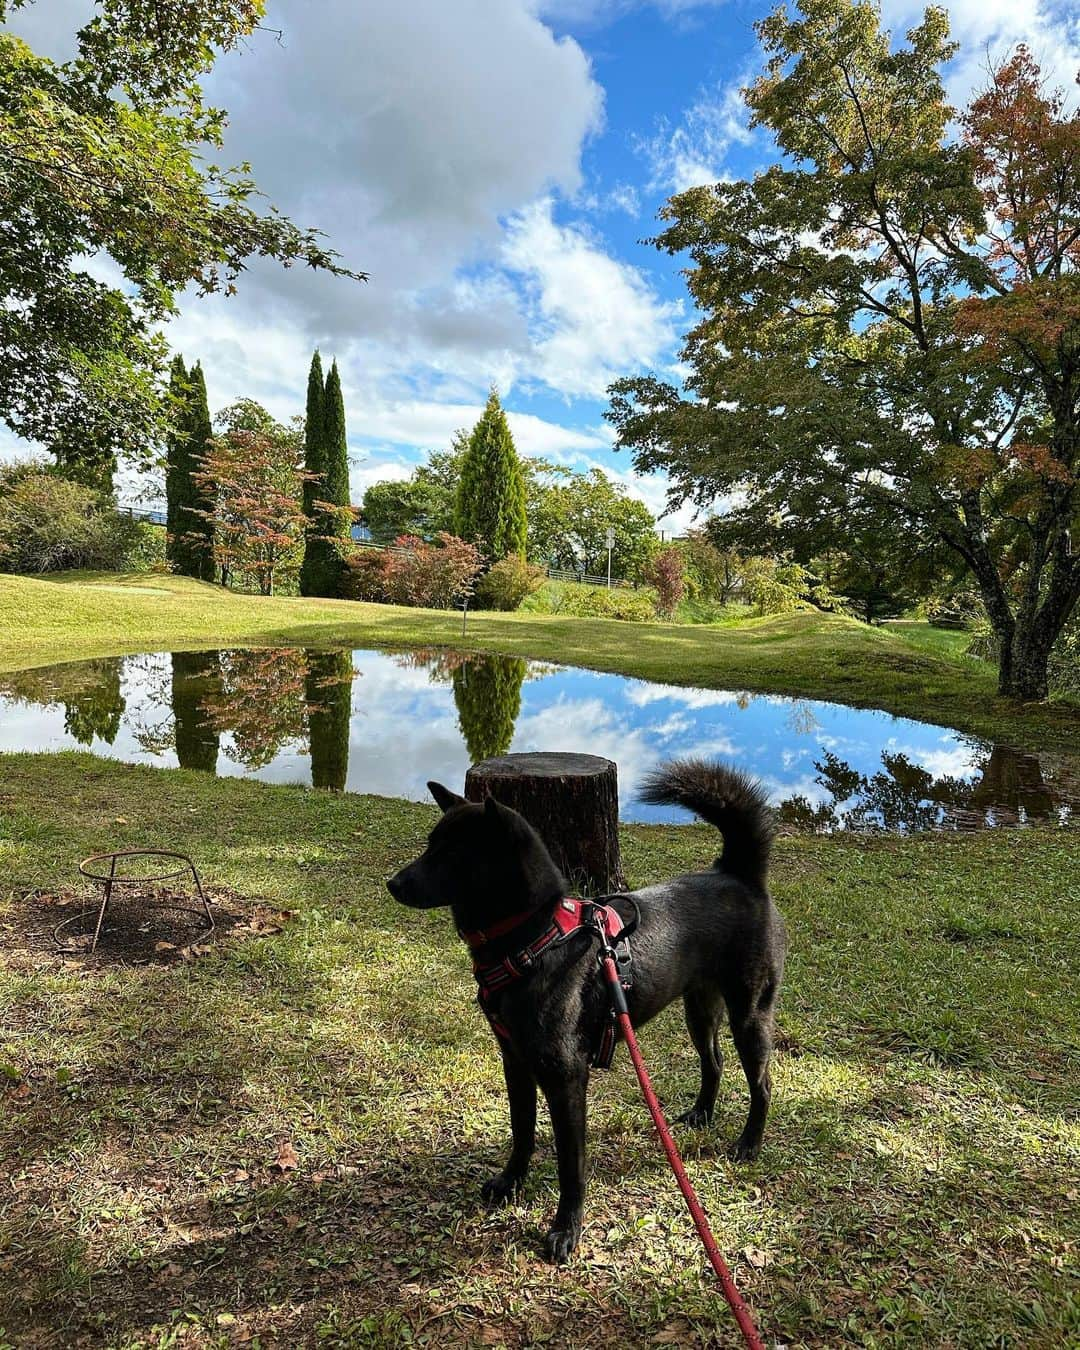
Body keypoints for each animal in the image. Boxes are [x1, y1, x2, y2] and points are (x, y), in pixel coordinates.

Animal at [388, 761, 783, 1263]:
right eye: (430, 845)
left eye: (453, 853)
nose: (393, 883)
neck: (534, 940)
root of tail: (738, 872)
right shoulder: (516, 1062)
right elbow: (522, 1130)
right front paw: (510, 1182)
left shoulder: (565, 1077)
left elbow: (570, 1164)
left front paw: (566, 1229)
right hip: (699, 1008)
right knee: (713, 1062)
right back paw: (701, 1115)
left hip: (750, 1014)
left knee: (762, 1084)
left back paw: (749, 1143)